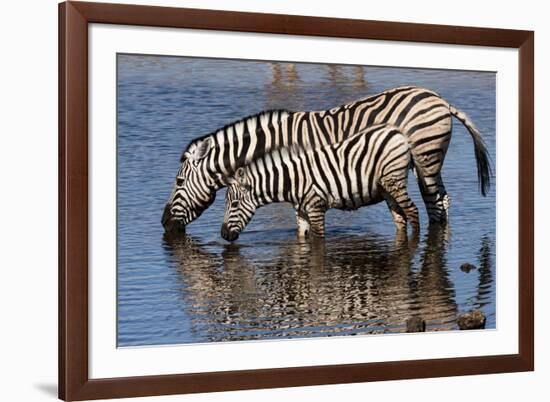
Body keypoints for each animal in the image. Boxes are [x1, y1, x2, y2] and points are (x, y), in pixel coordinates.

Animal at [220, 124, 418, 240]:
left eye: (234, 204)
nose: (223, 235)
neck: (291, 181)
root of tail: (397, 131)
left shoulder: (316, 208)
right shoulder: (301, 213)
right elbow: (302, 238)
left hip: (394, 180)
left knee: (413, 211)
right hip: (386, 188)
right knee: (400, 218)